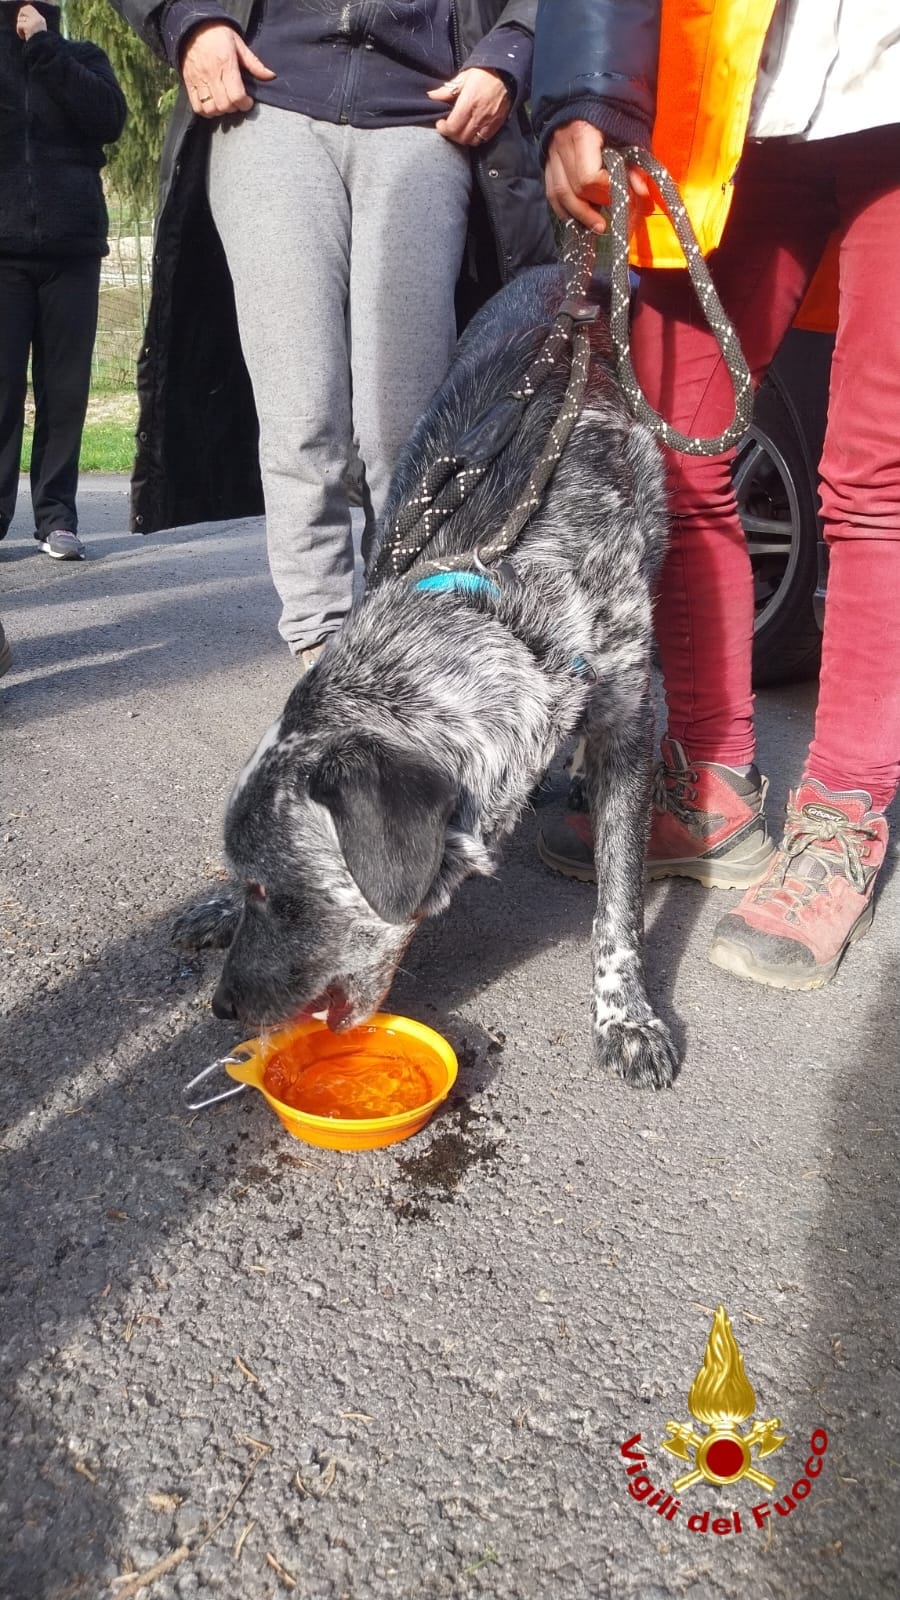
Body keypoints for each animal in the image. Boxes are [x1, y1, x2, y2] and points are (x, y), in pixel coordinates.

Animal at [173, 265, 672, 1088]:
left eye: (273, 892)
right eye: (244, 884)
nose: (220, 1008)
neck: (507, 598)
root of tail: (558, 272)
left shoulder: (633, 714)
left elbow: (620, 901)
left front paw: (624, 1014)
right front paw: (213, 910)